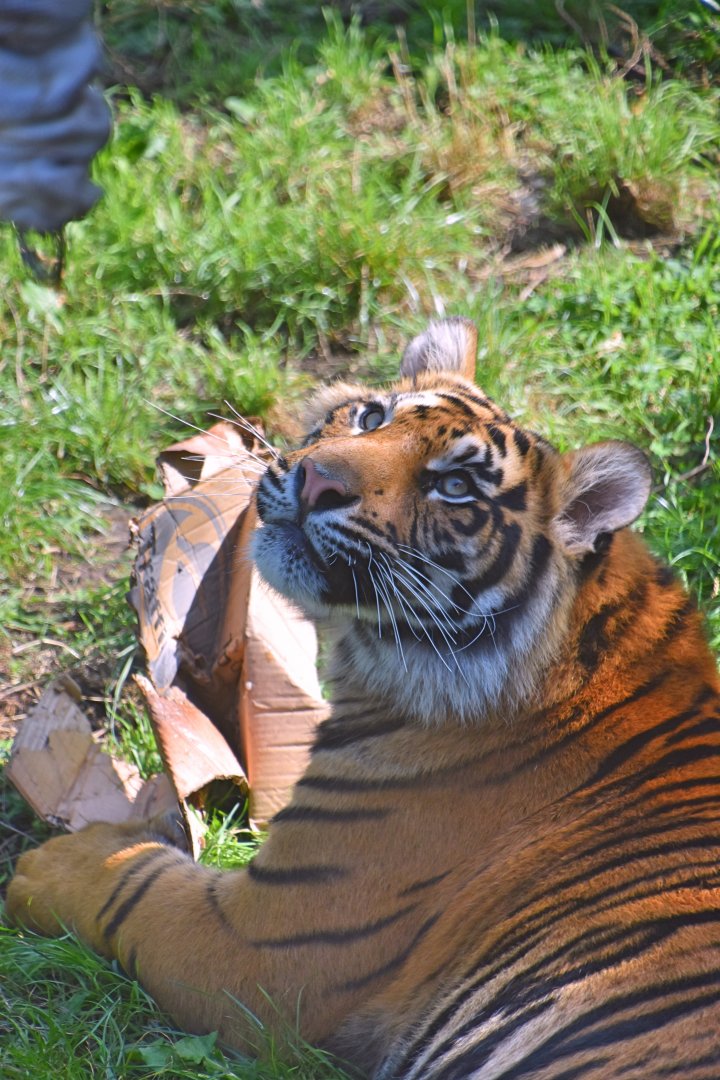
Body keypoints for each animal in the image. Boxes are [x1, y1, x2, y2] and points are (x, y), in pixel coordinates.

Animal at [7, 317, 720, 1079]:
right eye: (372, 417)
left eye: (456, 486)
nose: (319, 478)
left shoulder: (259, 941)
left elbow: (134, 882)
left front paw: (52, 863)